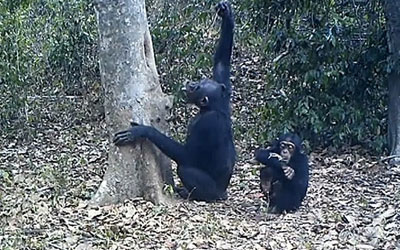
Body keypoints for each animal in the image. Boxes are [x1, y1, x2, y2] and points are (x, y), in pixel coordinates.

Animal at [112, 1, 236, 201]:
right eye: (201, 81)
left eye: (197, 87)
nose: (192, 83)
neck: (211, 108)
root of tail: (223, 193)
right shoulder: (224, 89)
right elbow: (222, 63)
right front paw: (227, 15)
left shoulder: (207, 124)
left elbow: (188, 156)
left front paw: (142, 131)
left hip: (213, 191)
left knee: (185, 169)